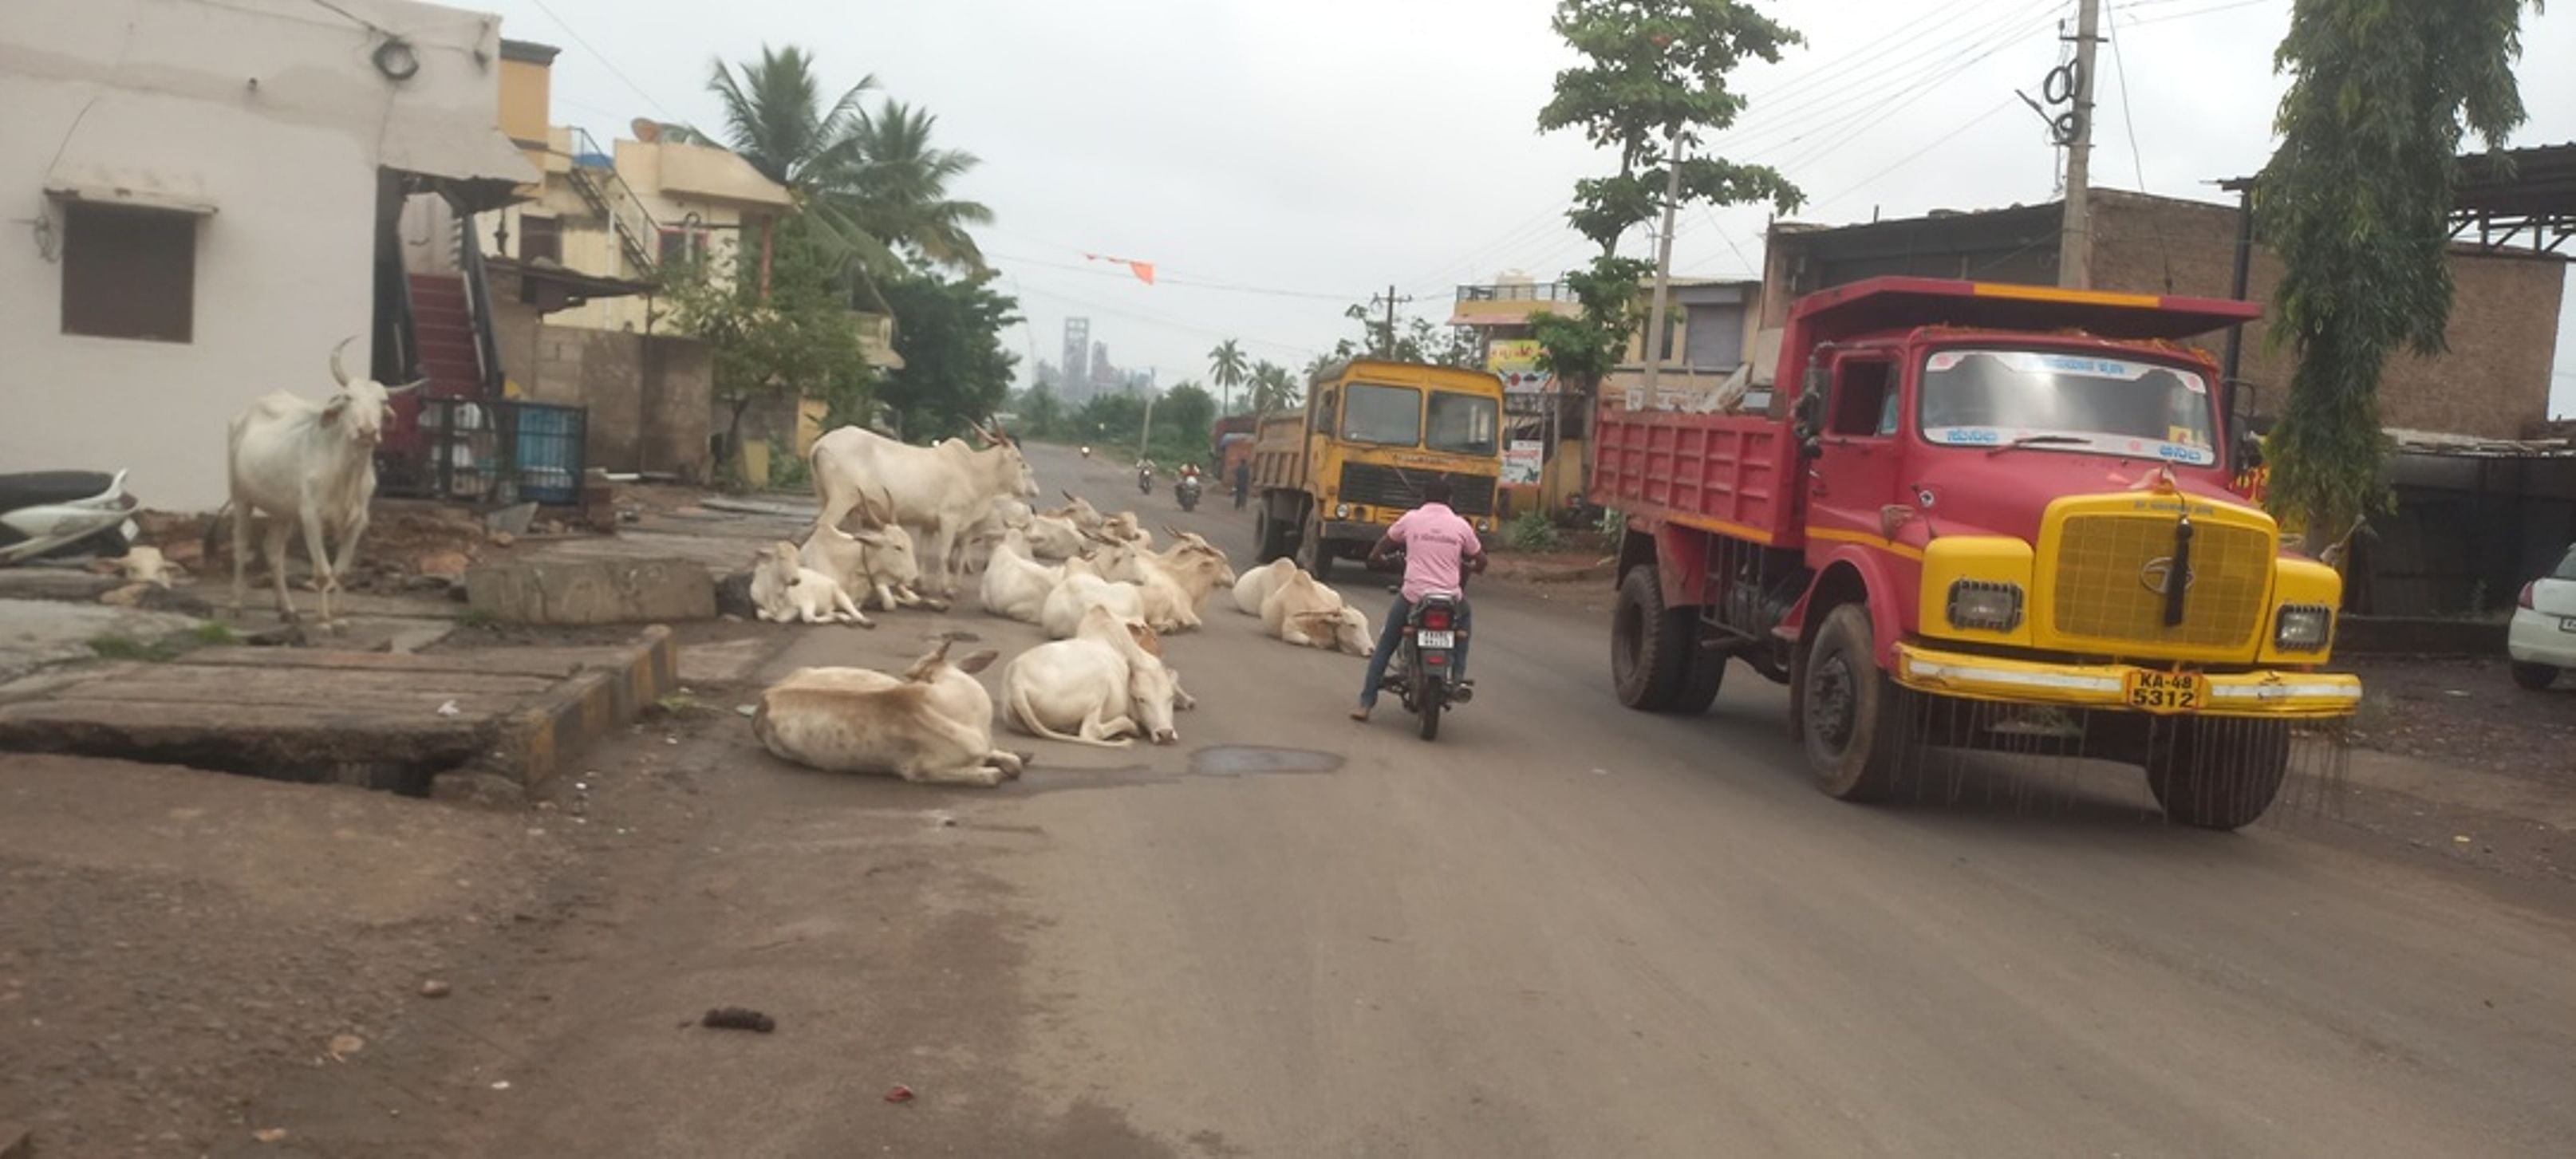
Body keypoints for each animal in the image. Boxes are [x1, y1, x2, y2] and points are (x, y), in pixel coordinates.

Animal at [751, 541, 870, 625]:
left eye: (797, 559)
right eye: (782, 557)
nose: (796, 580)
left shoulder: (808, 601)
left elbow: (808, 618)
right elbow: (762, 614)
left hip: (839, 593)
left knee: (854, 610)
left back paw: (865, 621)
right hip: (830, 605)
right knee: (833, 612)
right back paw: (846, 618)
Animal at [814, 420, 1036, 597]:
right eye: (1019, 460)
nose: (1024, 489)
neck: (972, 471)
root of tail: (821, 443)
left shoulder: (929, 523)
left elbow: (924, 551)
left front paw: (921, 585)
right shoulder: (949, 519)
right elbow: (944, 554)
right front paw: (946, 589)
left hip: (828, 499)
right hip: (841, 500)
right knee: (824, 527)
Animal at [1004, 602, 1185, 747]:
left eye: (1170, 698)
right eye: (1141, 699)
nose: (1165, 734)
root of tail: (1017, 681)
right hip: (1099, 685)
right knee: (1091, 731)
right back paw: (1130, 726)